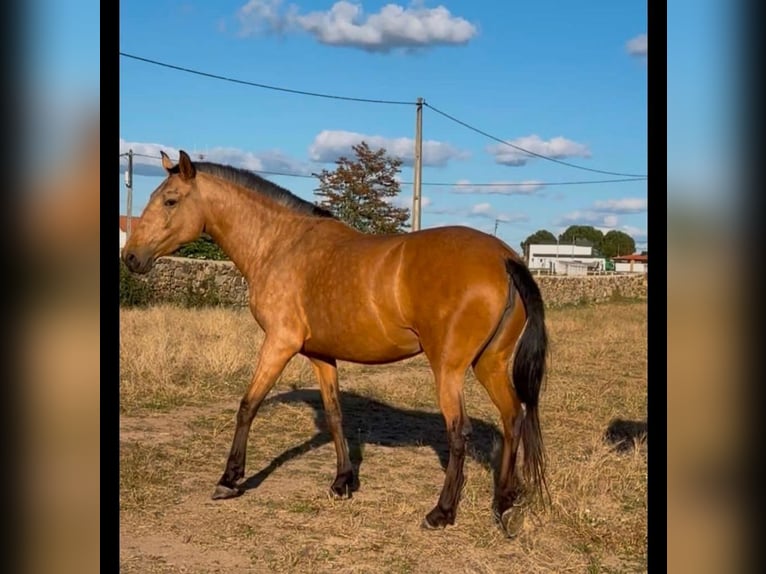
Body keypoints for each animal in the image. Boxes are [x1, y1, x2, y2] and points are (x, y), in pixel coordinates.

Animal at [121, 150, 549, 537]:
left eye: (170, 200)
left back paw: (441, 512)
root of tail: (504, 257)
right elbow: (335, 414)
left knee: (459, 432)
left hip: (449, 369)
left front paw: (229, 479)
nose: (130, 257)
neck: (280, 245)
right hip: (489, 364)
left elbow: (247, 406)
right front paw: (343, 481)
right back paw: (505, 501)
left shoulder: (279, 343)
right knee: (513, 418)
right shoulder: (320, 355)